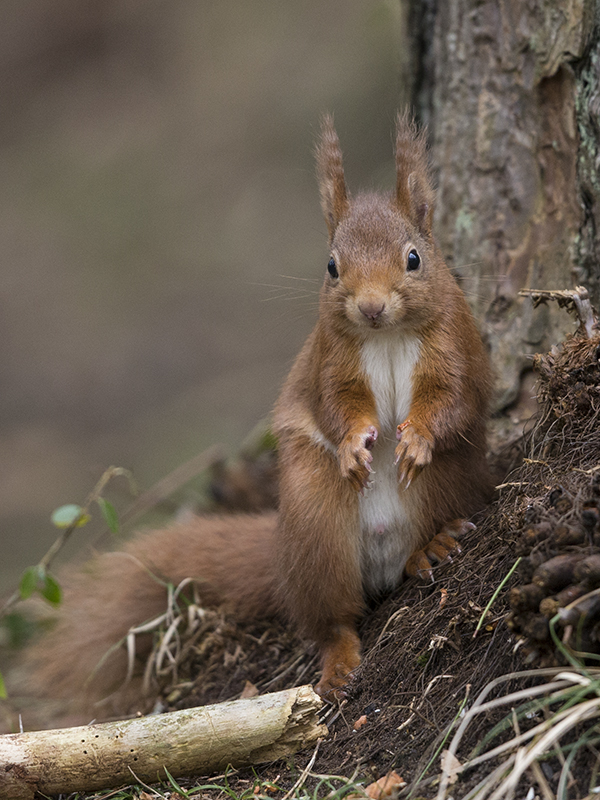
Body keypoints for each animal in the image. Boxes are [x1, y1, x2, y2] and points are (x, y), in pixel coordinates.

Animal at [23, 111, 492, 708]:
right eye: (331, 266)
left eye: (414, 258)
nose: (370, 306)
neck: (386, 337)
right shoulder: (329, 361)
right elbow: (337, 406)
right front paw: (353, 445)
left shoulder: (455, 346)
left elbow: (453, 398)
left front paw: (416, 439)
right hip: (315, 520)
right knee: (330, 618)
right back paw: (339, 661)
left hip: (445, 485)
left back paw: (431, 546)